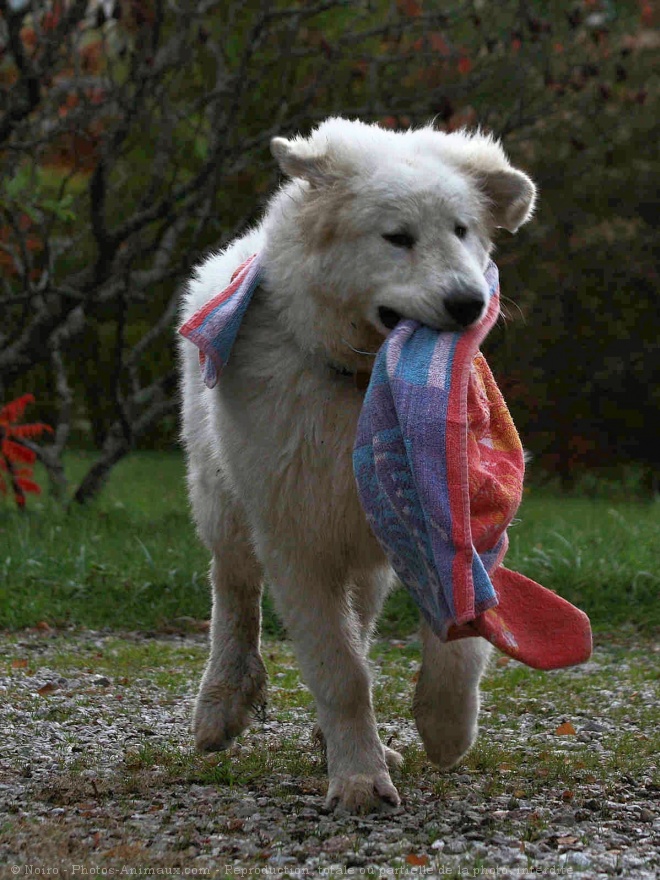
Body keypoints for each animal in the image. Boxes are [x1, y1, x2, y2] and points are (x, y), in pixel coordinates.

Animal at [179, 117, 536, 812]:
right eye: (397, 237)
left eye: (462, 230)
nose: (469, 303)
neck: (364, 385)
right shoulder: (296, 539)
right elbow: (338, 669)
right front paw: (359, 781)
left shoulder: (435, 517)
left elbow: (458, 641)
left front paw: (444, 728)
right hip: (224, 504)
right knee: (233, 591)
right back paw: (222, 704)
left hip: (363, 556)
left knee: (360, 617)